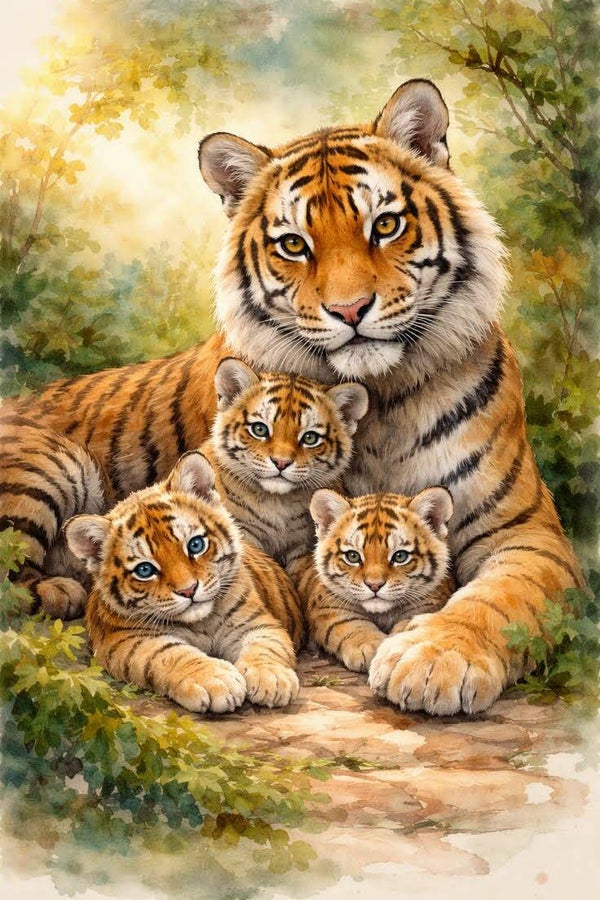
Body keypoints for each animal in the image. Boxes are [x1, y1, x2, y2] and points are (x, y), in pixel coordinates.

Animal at [64, 451, 302, 712]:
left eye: (195, 545)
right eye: (145, 570)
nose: (189, 590)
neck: (202, 623)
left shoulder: (253, 621)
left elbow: (266, 645)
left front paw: (272, 678)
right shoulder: (127, 641)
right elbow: (170, 654)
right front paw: (216, 680)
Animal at [299, 487, 455, 672]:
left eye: (400, 556)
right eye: (352, 556)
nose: (374, 585)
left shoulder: (430, 602)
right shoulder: (327, 604)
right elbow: (348, 623)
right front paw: (369, 647)